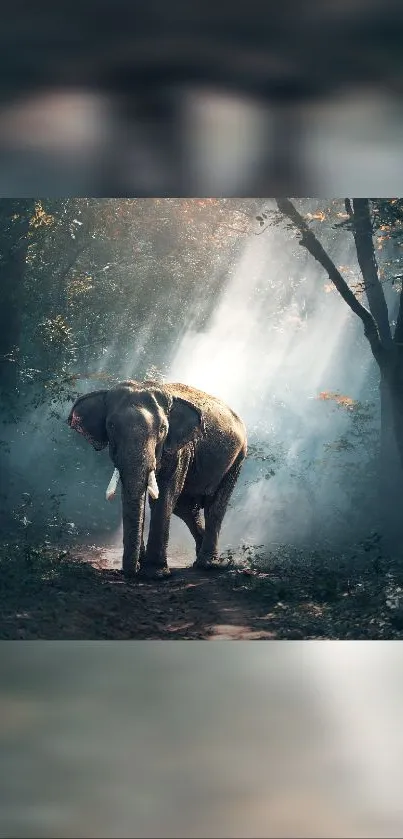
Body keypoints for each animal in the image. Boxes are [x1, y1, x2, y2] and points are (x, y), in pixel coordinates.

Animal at [68, 378, 248, 576]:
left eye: (162, 429)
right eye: (111, 426)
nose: (130, 572)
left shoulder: (179, 449)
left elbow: (164, 495)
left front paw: (155, 574)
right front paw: (143, 565)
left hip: (237, 458)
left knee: (214, 506)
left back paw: (209, 564)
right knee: (185, 508)